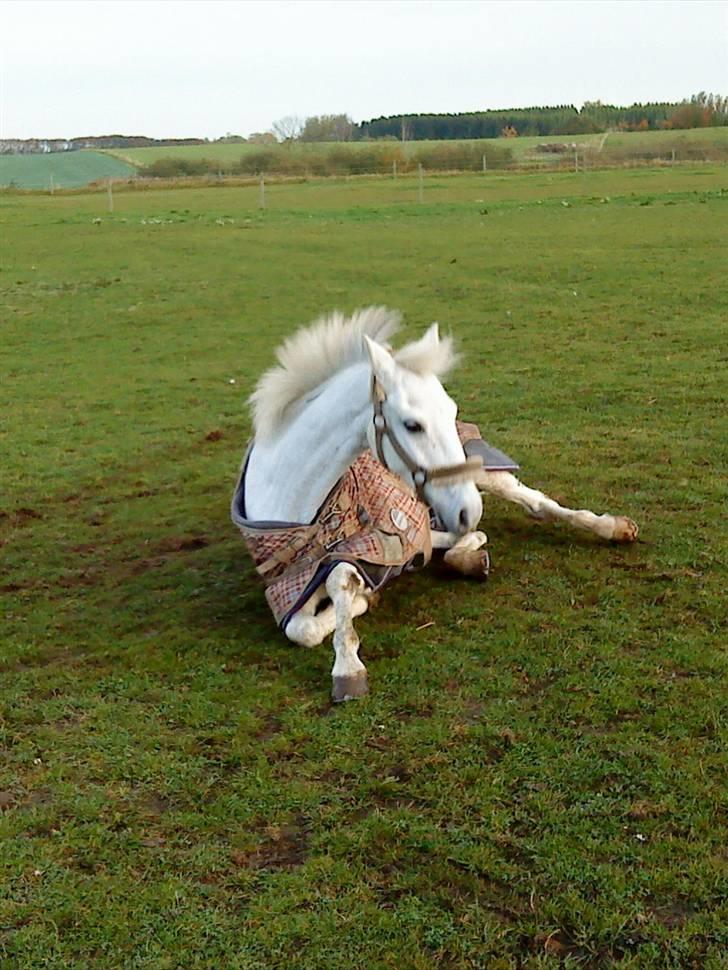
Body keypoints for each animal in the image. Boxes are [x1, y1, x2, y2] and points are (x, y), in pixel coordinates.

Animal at [233, 306, 636, 700]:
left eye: (451, 411)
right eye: (412, 425)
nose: (469, 509)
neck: (294, 504)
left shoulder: (382, 541)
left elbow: (342, 584)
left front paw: (350, 655)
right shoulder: (294, 586)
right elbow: (303, 626)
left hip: (482, 474)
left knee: (535, 502)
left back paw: (611, 526)